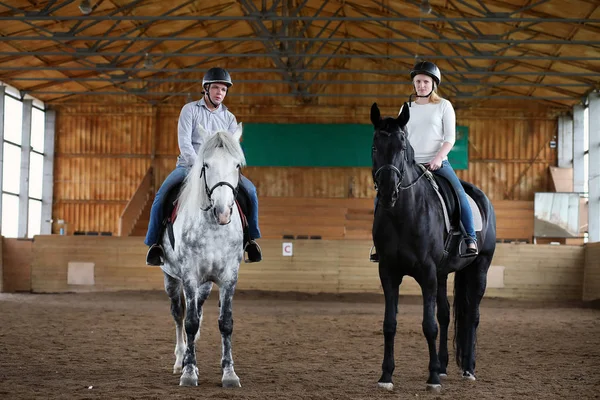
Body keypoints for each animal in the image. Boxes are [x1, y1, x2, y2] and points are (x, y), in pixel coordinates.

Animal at [370, 101, 496, 392]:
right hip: (442, 274)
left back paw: (468, 369)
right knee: (447, 315)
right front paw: (386, 376)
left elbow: (429, 325)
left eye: (402, 146)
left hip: (480, 267)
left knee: (472, 316)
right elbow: (390, 324)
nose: (388, 192)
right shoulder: (388, 272)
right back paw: (444, 365)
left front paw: (433, 379)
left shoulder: (426, 272)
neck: (403, 214)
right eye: (374, 147)